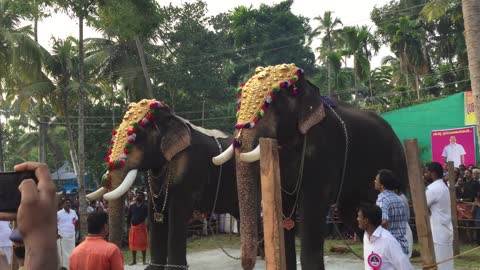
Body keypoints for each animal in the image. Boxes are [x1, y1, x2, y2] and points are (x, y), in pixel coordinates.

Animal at [85, 99, 239, 270]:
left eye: (138, 136)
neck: (172, 118)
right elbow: (154, 211)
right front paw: (153, 267)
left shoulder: (190, 169)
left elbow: (177, 211)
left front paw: (174, 269)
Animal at [214, 64, 408, 270]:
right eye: (239, 104)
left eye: (276, 105)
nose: (249, 263)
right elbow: (285, 204)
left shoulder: (324, 149)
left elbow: (313, 204)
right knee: (353, 212)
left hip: (394, 163)